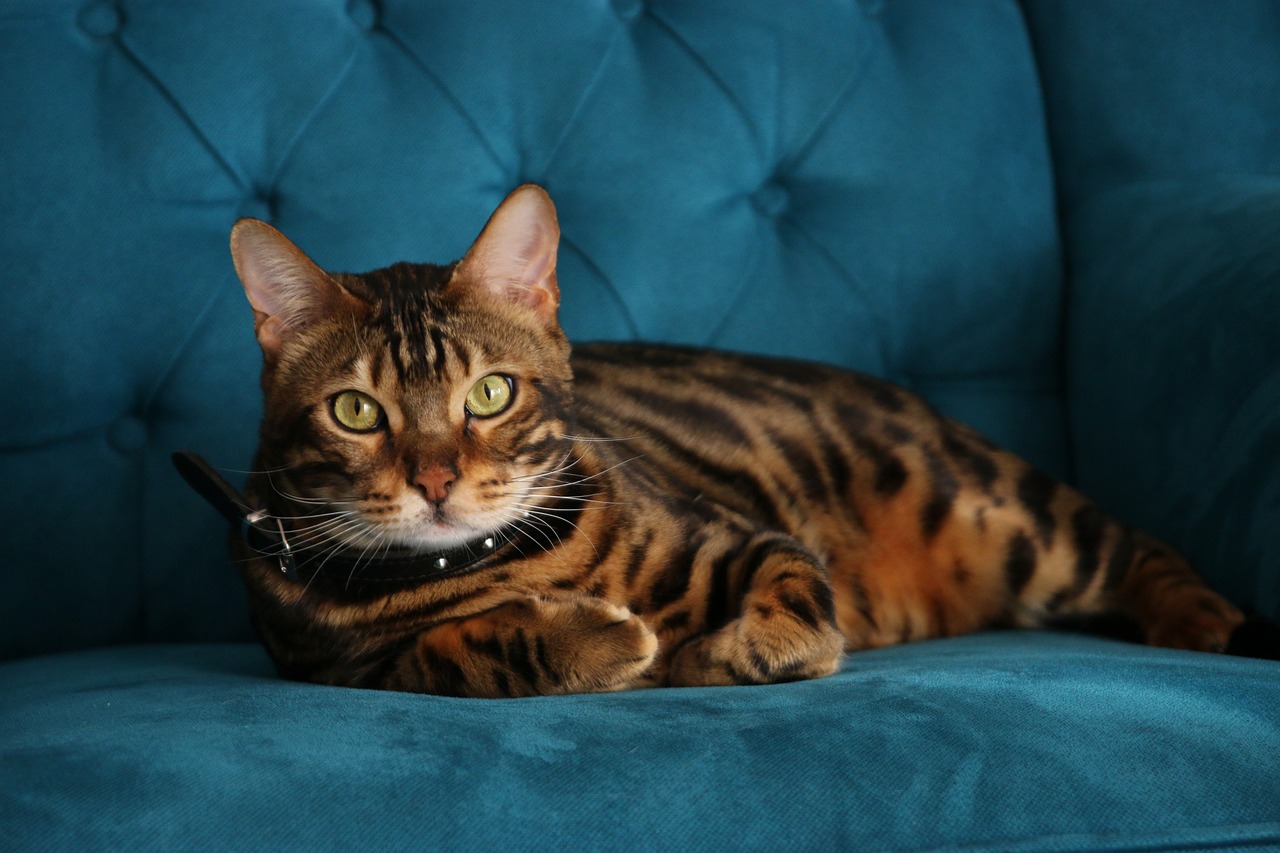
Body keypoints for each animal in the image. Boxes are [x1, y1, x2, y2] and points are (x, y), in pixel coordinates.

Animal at [197, 183, 1269, 696]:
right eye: (356, 411)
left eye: (490, 393)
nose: (434, 480)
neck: (485, 563)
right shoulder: (337, 663)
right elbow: (457, 652)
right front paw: (597, 635)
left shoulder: (746, 538)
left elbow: (796, 604)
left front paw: (718, 650)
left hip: (1006, 516)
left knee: (1143, 547)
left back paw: (1205, 622)